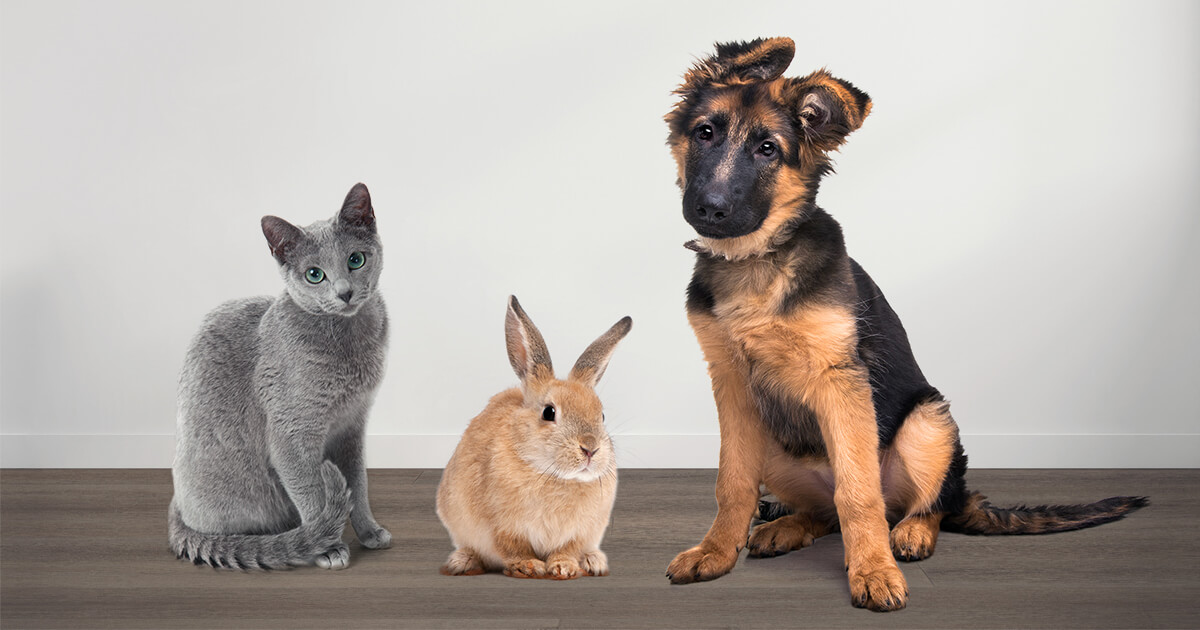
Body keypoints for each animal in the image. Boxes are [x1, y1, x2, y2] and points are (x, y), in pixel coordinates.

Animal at [169, 181, 391, 568]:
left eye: (356, 260)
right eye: (314, 274)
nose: (345, 293)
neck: (349, 344)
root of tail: (177, 509)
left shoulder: (352, 425)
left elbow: (359, 483)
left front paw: (369, 532)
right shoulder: (291, 430)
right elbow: (312, 492)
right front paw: (327, 545)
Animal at [436, 296, 633, 580]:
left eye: (602, 415)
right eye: (549, 412)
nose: (590, 449)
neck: (551, 474)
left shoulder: (579, 532)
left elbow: (567, 550)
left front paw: (564, 567)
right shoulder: (503, 527)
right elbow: (514, 548)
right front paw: (528, 566)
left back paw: (593, 561)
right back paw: (462, 561)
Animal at [662, 38, 1147, 609]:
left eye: (768, 150)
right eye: (705, 133)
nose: (709, 209)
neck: (758, 260)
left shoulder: (841, 380)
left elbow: (858, 493)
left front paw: (874, 571)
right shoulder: (732, 384)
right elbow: (732, 482)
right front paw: (715, 551)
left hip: (928, 421)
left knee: (924, 502)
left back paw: (910, 533)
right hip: (779, 446)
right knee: (824, 511)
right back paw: (786, 525)